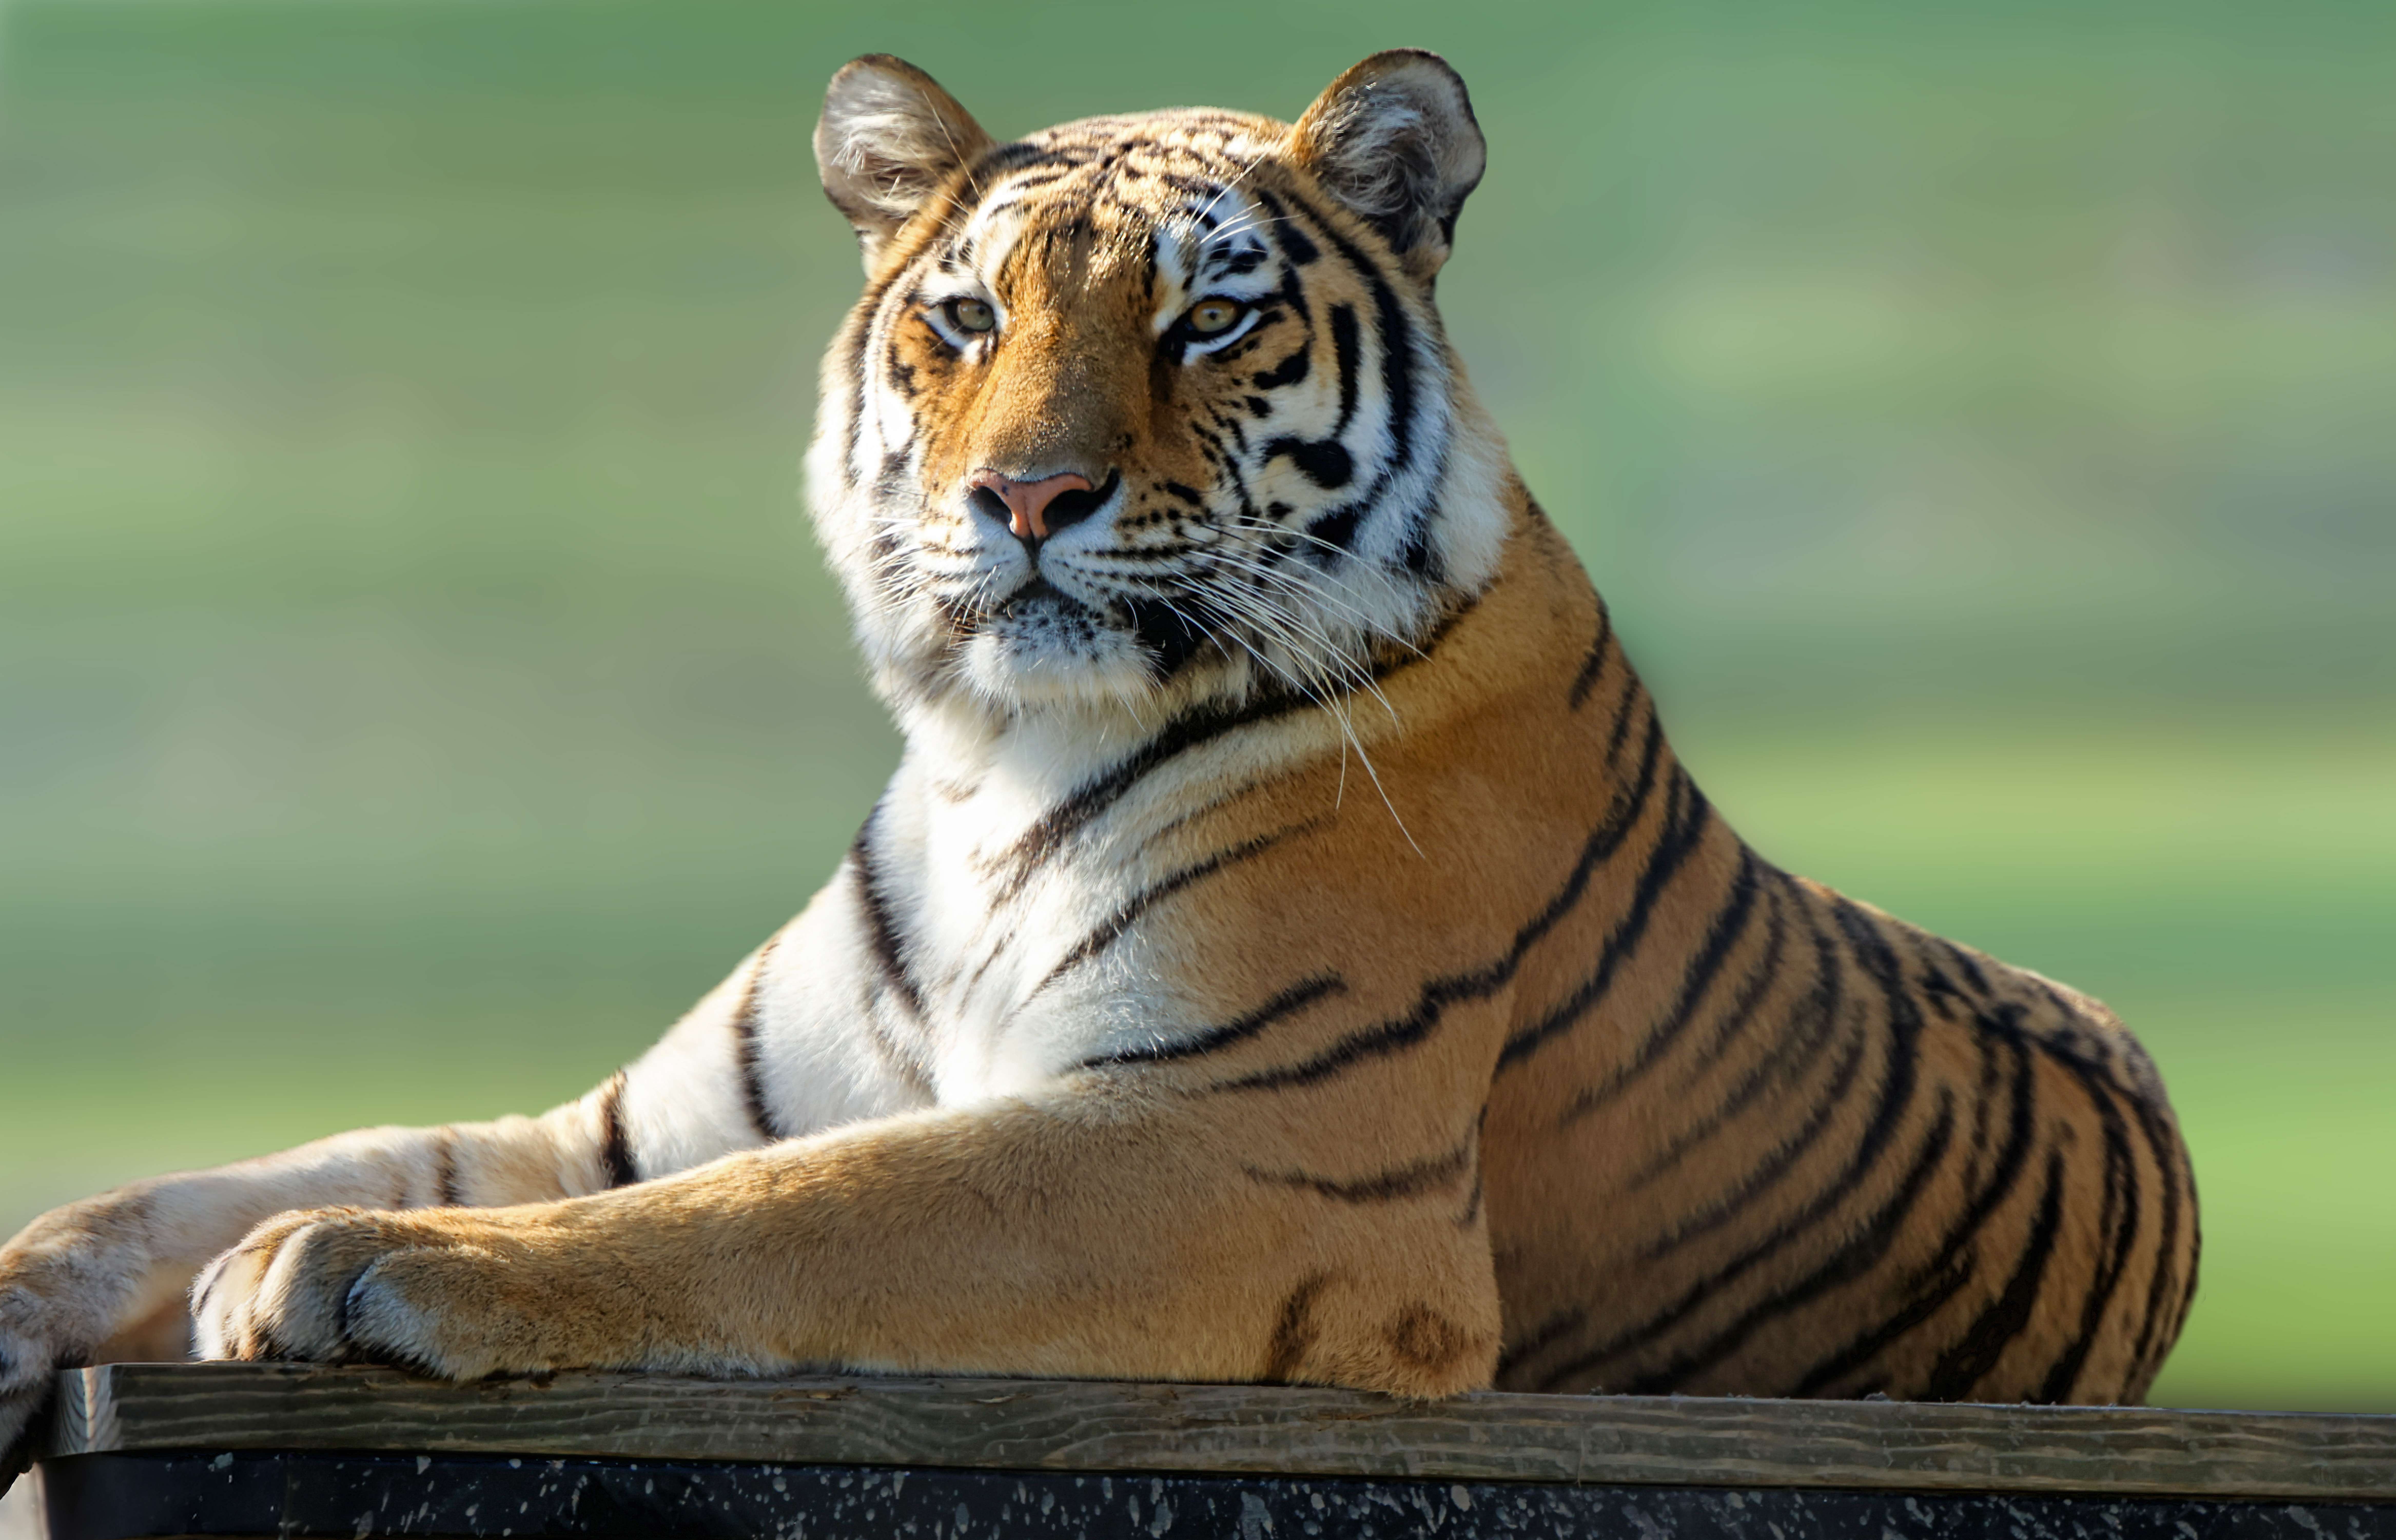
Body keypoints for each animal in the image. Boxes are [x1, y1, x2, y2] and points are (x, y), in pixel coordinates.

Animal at [0, 49, 2198, 1482]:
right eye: (965, 318)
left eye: (1208, 320)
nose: (1026, 497)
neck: (994, 761)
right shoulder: (635, 1124)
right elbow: (221, 1183)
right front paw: (81, 1276)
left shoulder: (1238, 1144)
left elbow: (789, 1221)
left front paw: (368, 1268)